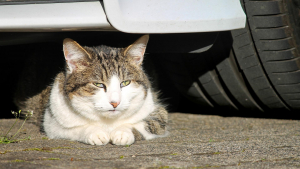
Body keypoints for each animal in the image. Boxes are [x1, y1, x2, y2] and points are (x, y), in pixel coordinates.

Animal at [13, 35, 169, 145]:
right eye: (98, 84)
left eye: (125, 83)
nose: (115, 102)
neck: (107, 123)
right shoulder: (52, 122)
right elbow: (74, 129)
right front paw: (95, 132)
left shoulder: (158, 111)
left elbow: (147, 123)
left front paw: (123, 132)